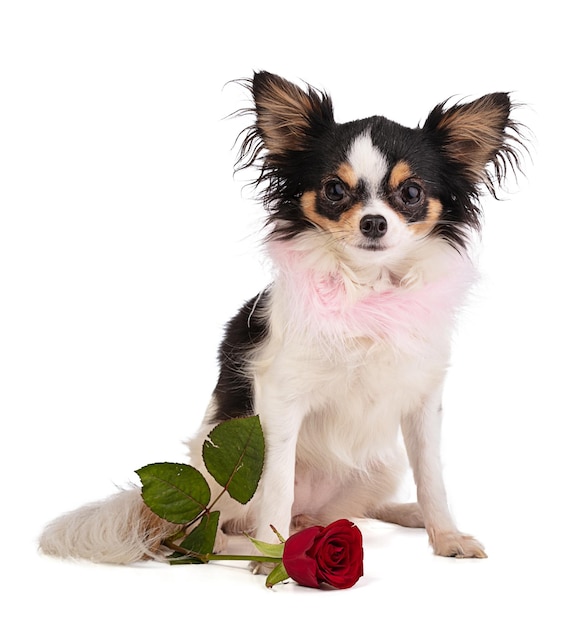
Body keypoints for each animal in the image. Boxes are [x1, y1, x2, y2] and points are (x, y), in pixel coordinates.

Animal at [39, 70, 520, 564]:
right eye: (334, 190)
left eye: (411, 193)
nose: (373, 222)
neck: (366, 288)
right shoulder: (281, 400)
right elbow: (277, 486)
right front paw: (272, 553)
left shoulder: (423, 403)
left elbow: (432, 478)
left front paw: (447, 536)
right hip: (214, 484)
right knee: (207, 525)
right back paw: (236, 541)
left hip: (379, 468)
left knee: (353, 508)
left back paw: (401, 513)